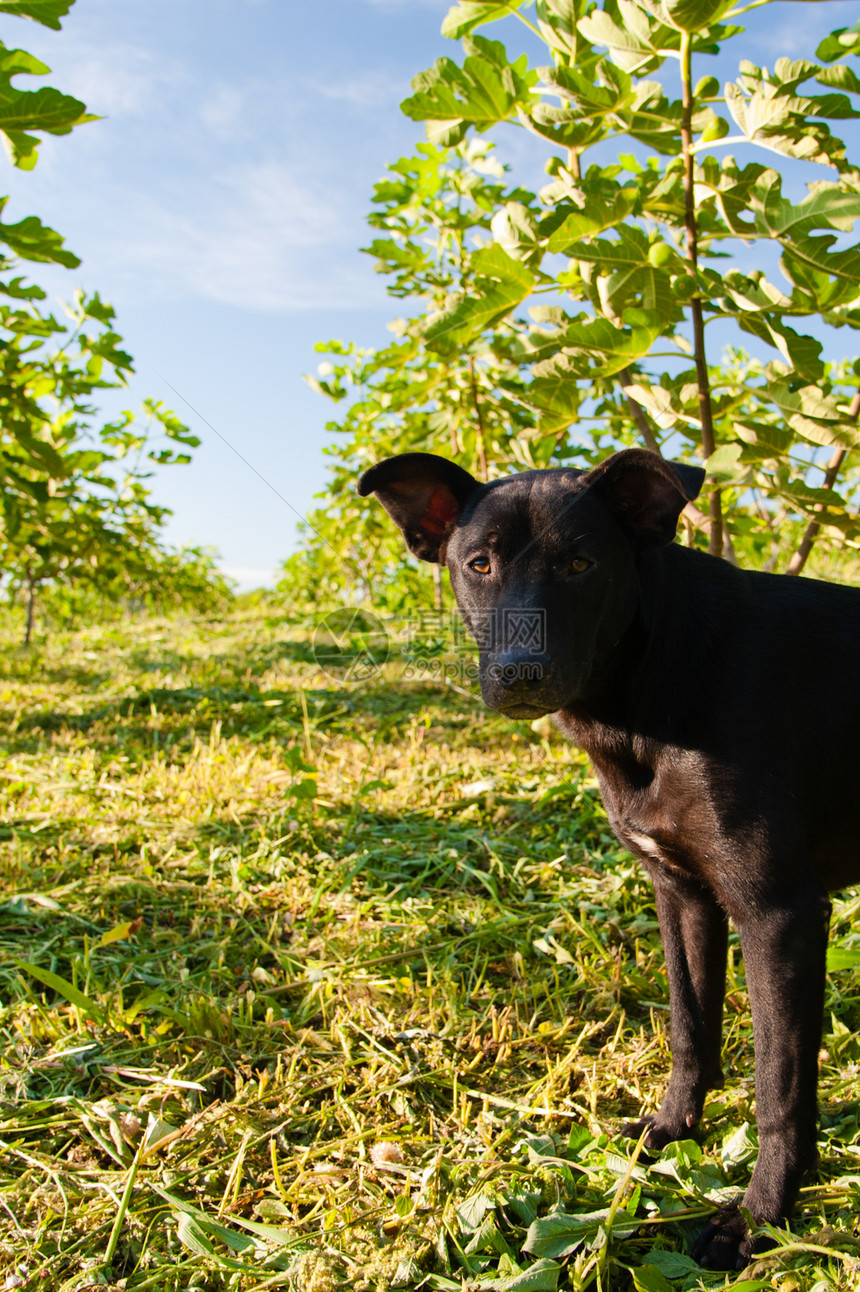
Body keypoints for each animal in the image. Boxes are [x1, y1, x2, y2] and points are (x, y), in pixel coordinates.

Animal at [356, 449, 860, 1266]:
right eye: (478, 563)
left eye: (580, 564)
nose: (520, 673)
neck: (657, 678)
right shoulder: (682, 894)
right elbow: (690, 1029)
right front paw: (672, 1131)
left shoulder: (778, 913)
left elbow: (780, 1089)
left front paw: (758, 1217)